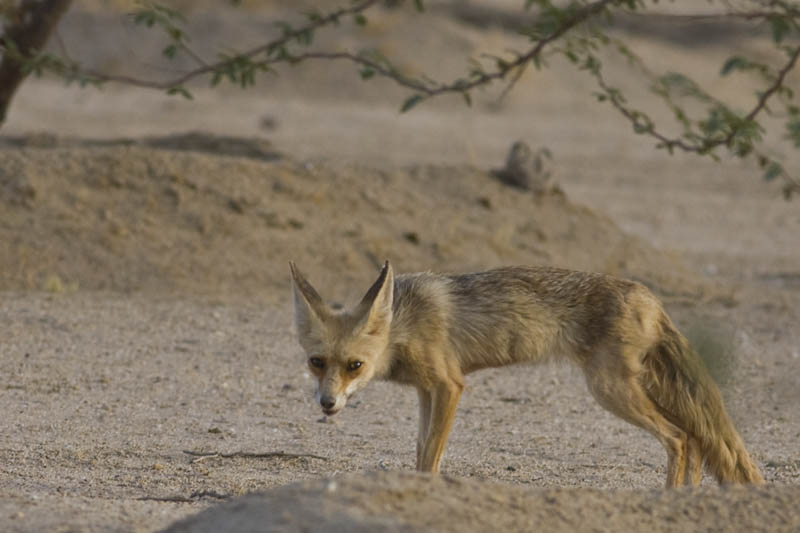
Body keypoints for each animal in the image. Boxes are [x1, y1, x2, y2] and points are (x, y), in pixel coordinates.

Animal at [288, 260, 764, 488]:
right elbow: (421, 451)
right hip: (630, 389)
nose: (327, 404)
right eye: (316, 362)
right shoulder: (427, 391)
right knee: (697, 440)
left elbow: (431, 458)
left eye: (355, 365)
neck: (404, 324)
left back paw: (668, 496)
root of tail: (649, 296)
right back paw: (684, 499)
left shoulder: (449, 385)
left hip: (610, 390)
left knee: (681, 438)